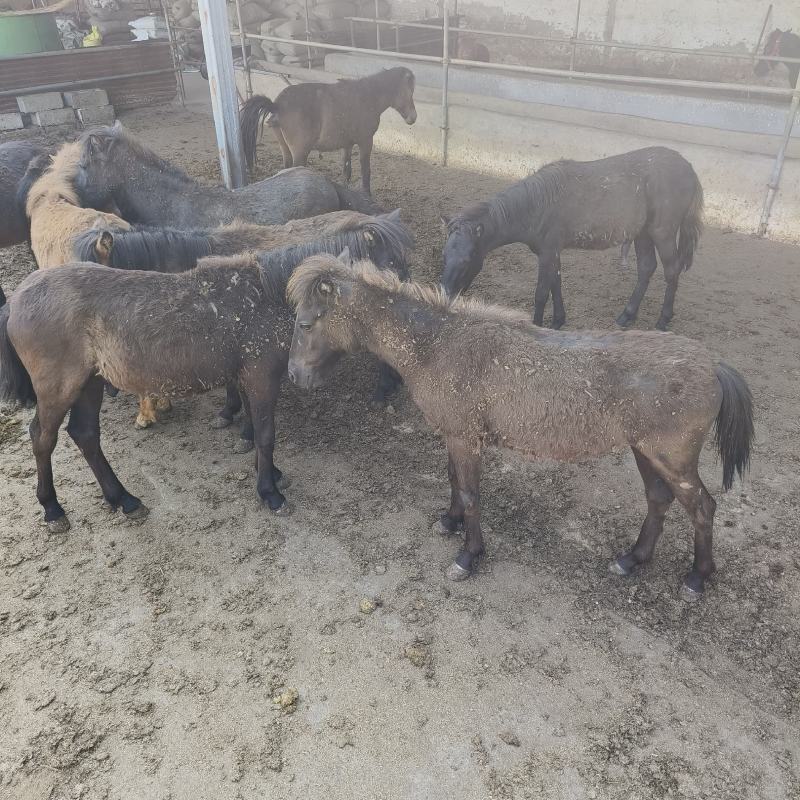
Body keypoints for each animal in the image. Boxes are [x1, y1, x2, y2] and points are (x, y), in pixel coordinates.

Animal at [0, 221, 412, 534]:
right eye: (386, 269)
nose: (405, 326)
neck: (266, 295)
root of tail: (17, 298)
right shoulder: (262, 377)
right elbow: (265, 433)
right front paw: (270, 492)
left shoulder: (245, 376)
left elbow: (253, 427)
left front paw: (270, 473)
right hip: (59, 387)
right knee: (43, 437)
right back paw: (53, 510)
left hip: (91, 383)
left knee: (85, 435)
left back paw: (124, 500)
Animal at [240, 67, 417, 196]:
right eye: (409, 92)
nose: (413, 117)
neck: (366, 97)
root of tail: (277, 105)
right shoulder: (366, 141)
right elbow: (365, 170)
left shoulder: (347, 144)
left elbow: (346, 170)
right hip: (300, 152)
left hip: (285, 149)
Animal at [286, 256, 754, 600]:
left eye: (306, 323)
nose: (293, 375)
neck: (436, 346)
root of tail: (713, 366)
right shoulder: (455, 435)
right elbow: (453, 480)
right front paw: (448, 522)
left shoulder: (465, 438)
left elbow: (471, 494)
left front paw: (468, 556)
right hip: (646, 453)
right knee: (658, 500)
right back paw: (630, 560)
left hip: (673, 459)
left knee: (702, 509)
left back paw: (696, 579)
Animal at [441, 147, 703, 331]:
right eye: (444, 256)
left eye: (467, 259)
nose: (445, 295)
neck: (538, 204)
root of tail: (689, 168)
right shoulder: (552, 252)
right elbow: (556, 284)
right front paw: (558, 321)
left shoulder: (547, 252)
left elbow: (541, 293)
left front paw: (538, 326)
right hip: (643, 234)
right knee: (646, 268)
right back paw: (626, 316)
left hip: (662, 233)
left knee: (672, 270)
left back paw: (663, 320)